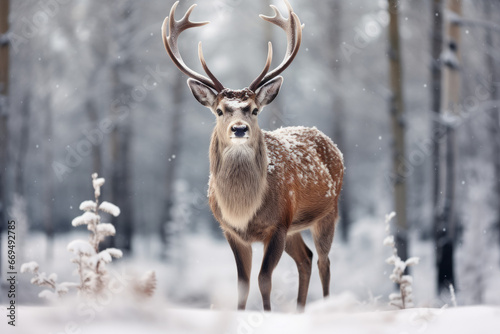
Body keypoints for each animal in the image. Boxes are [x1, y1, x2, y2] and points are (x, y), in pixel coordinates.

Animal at [162, 0, 346, 312]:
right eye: (219, 110)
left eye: (255, 110)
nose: (239, 128)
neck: (244, 210)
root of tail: (331, 143)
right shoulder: (231, 231)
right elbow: (243, 284)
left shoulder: (278, 224)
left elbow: (264, 280)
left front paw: (268, 314)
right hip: (296, 227)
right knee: (306, 259)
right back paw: (299, 311)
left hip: (328, 211)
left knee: (324, 261)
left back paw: (327, 307)